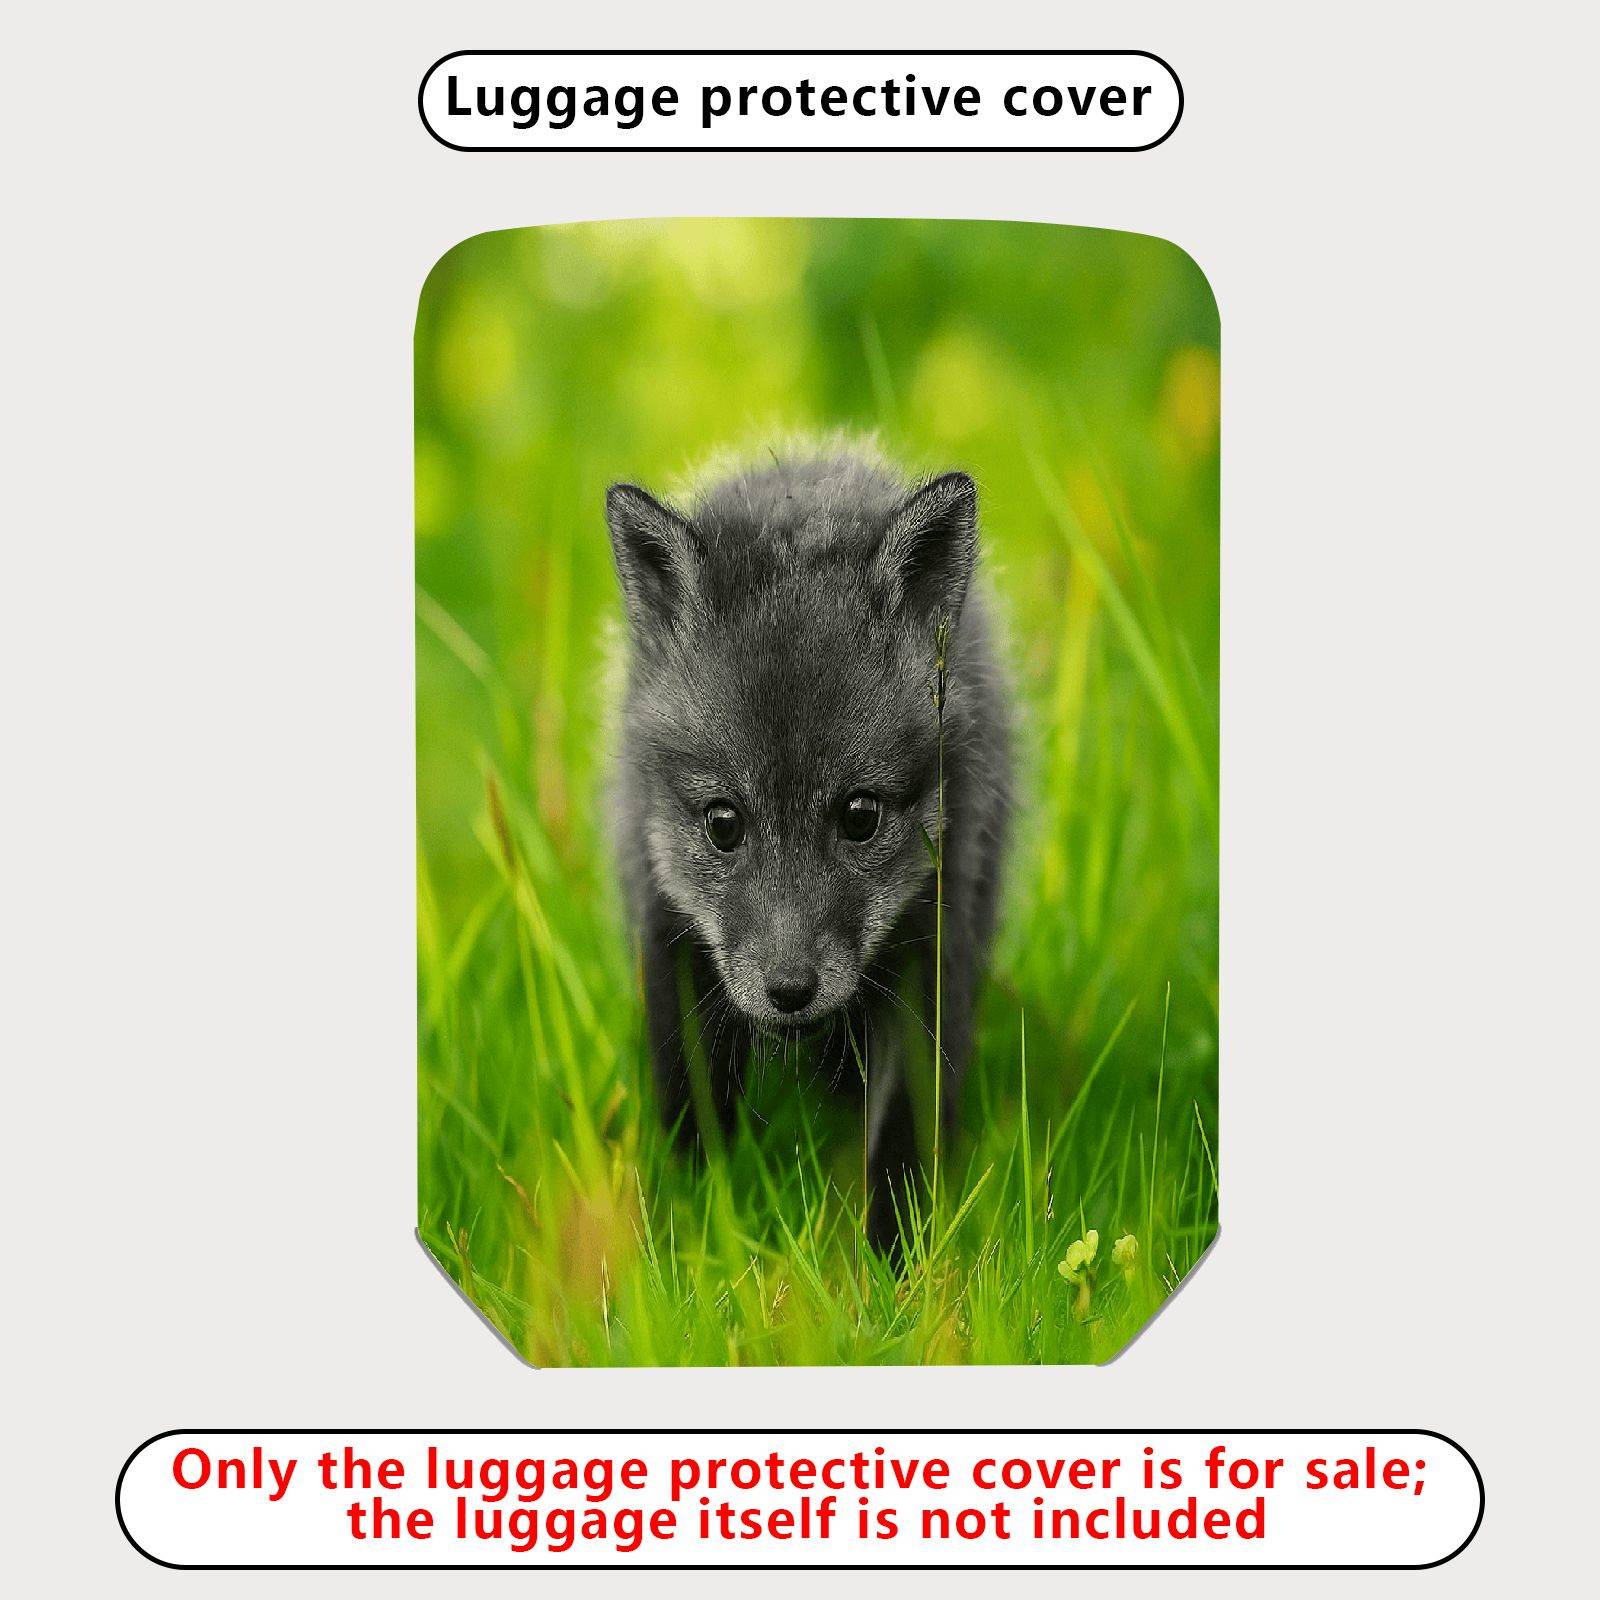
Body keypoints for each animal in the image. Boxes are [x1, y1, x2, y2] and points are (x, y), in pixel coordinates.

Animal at [605, 443, 1012, 1252]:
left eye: (859, 816)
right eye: (723, 824)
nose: (789, 990)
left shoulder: (927, 952)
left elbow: (898, 1146)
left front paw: (892, 1273)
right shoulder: (671, 939)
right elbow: (695, 1132)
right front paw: (696, 1248)